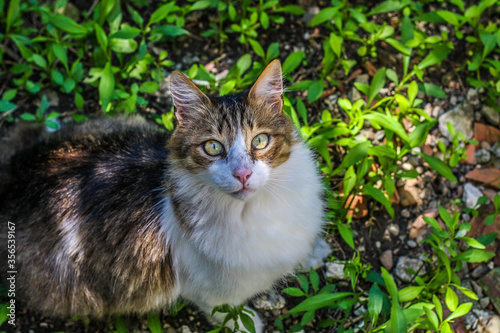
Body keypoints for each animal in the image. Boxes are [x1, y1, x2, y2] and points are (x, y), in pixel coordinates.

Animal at [0, 59, 326, 330]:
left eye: (259, 141)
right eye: (212, 147)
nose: (242, 174)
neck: (253, 210)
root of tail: (15, 170)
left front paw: (314, 252)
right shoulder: (207, 290)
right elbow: (226, 313)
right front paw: (247, 325)